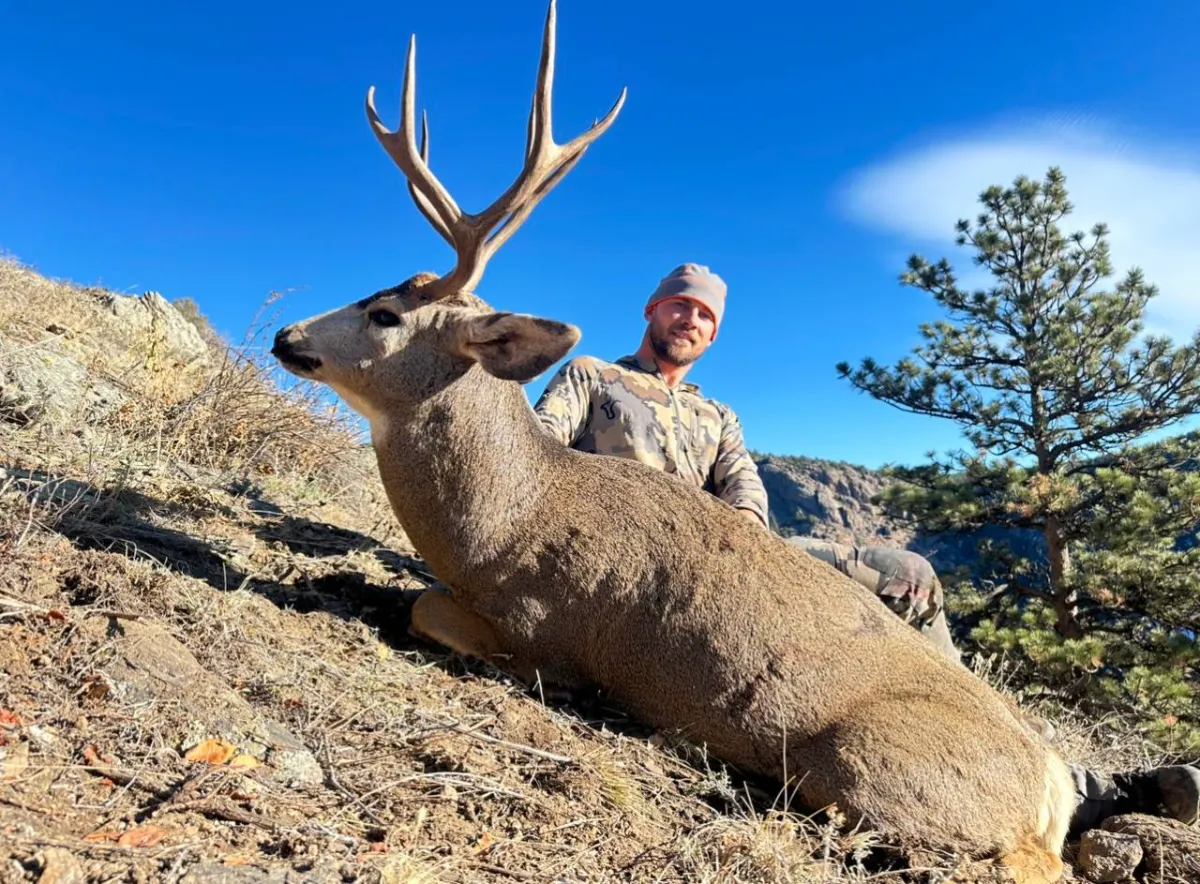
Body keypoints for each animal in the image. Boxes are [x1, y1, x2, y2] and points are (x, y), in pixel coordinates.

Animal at [271, 4, 1075, 880]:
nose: (285, 335)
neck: (504, 523)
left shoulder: (545, 631)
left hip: (872, 766)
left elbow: (425, 608)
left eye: (384, 313)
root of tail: (1052, 784)